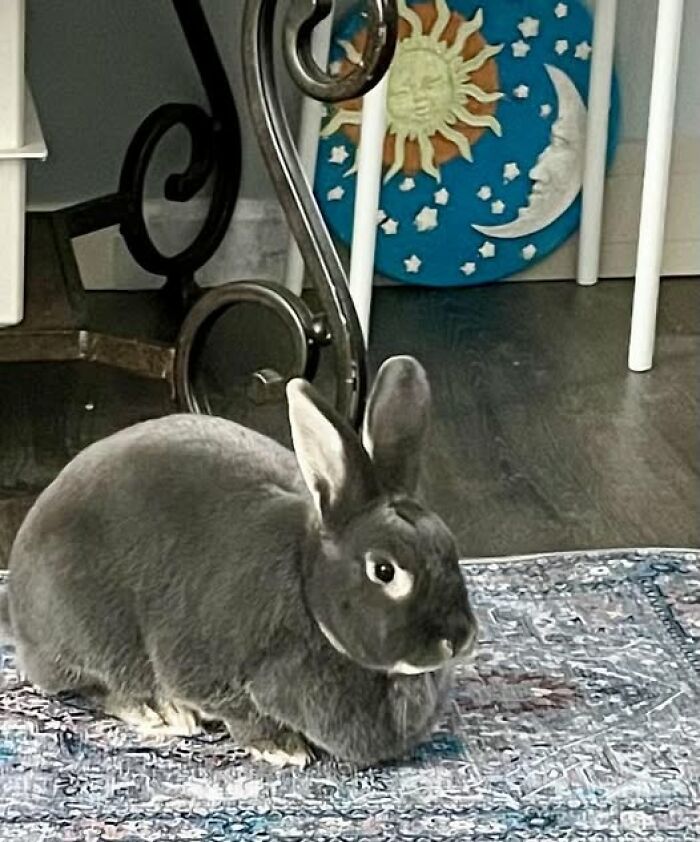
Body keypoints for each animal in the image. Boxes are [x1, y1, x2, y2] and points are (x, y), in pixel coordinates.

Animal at [5, 355, 477, 767]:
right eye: (384, 570)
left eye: (450, 546)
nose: (459, 638)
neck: (309, 593)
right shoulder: (203, 667)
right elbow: (238, 710)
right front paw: (280, 748)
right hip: (88, 631)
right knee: (84, 684)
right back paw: (157, 711)